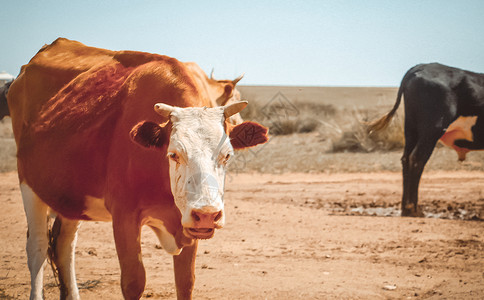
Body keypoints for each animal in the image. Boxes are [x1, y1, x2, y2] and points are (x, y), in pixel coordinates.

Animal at [3, 38, 268, 300]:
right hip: (29, 185)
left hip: (70, 196)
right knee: (37, 247)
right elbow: (134, 282)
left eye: (227, 155)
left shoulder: (189, 225)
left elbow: (186, 282)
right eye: (174, 154)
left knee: (63, 245)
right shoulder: (124, 217)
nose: (207, 214)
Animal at [368, 63, 482, 218]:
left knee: (406, 159)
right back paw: (413, 209)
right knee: (417, 158)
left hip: (411, 129)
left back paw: (406, 209)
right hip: (432, 130)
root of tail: (422, 66)